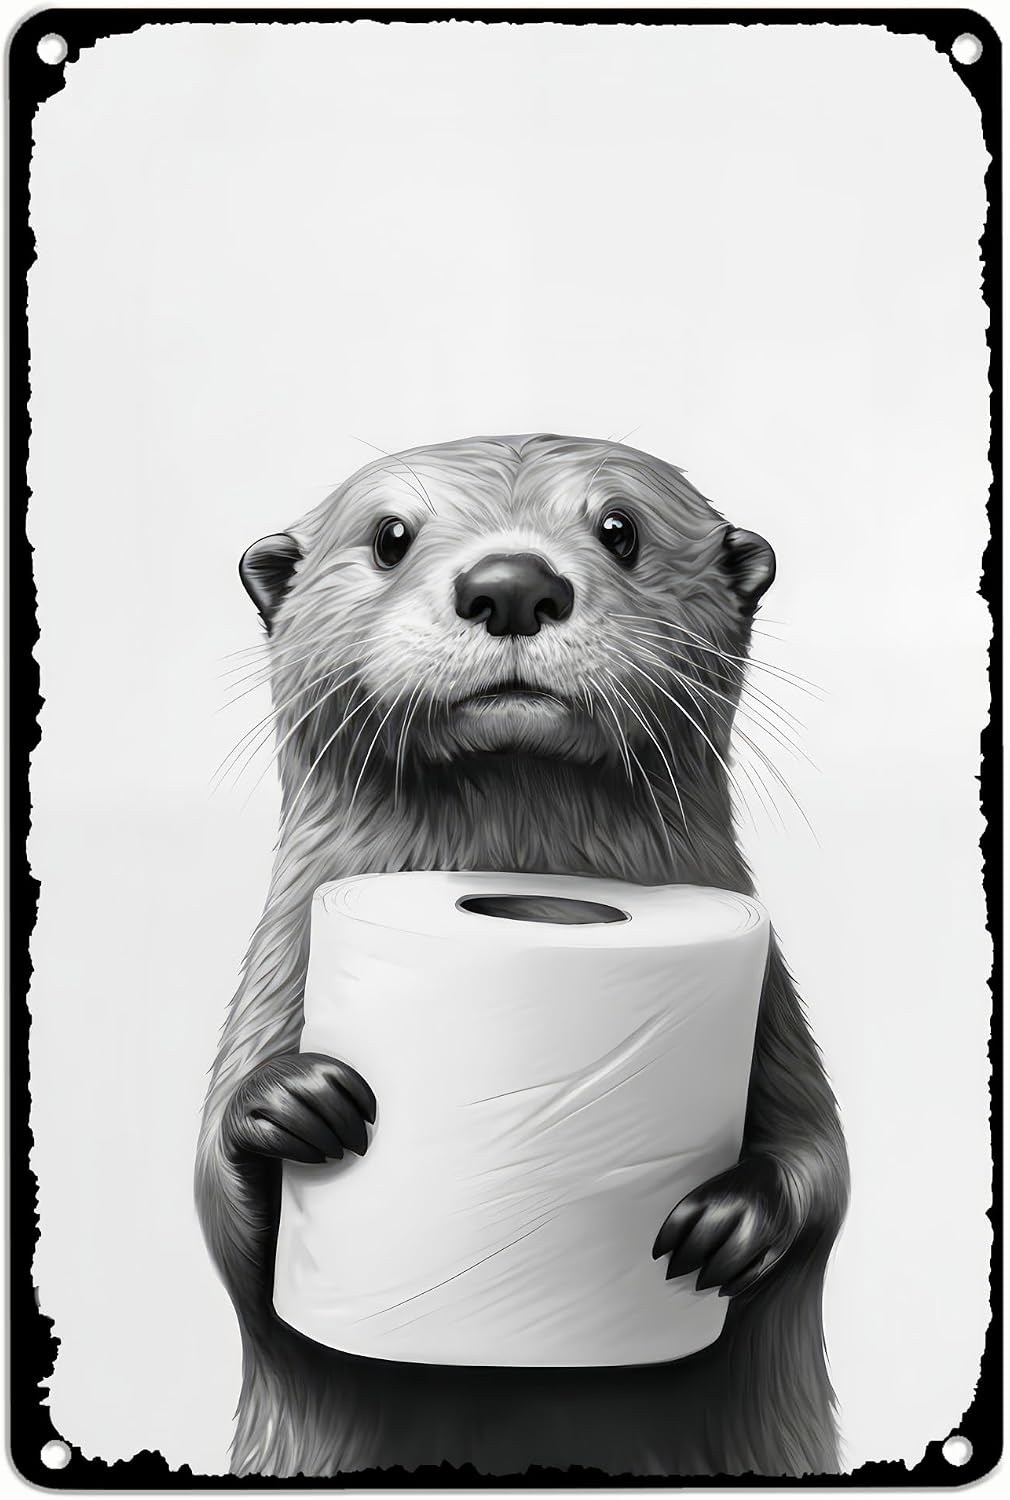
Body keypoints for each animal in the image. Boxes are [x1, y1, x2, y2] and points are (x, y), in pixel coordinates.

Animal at [195, 434, 849, 1478]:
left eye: (621, 528)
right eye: (390, 535)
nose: (511, 584)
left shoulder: (773, 1010)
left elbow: (824, 1166)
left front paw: (732, 1221)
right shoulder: (274, 977)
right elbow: (224, 1224)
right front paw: (289, 1102)